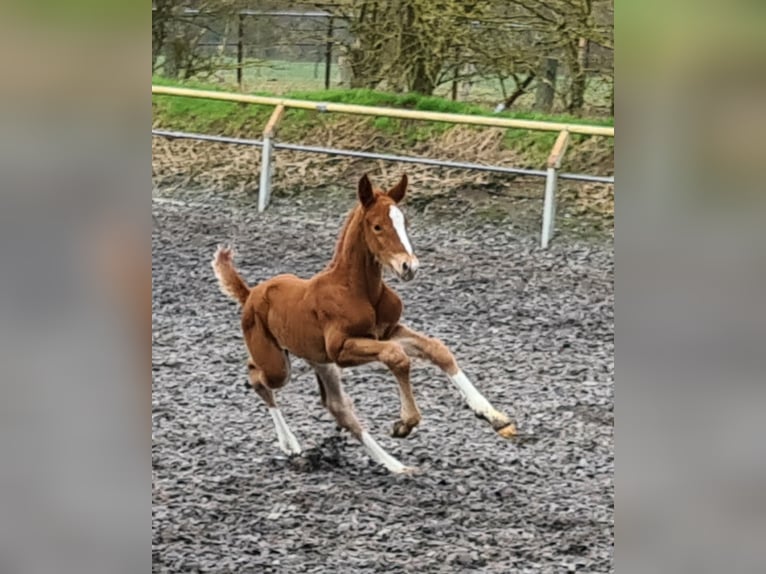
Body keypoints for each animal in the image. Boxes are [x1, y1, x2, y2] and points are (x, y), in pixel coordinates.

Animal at [212, 173, 516, 473]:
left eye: (405, 223)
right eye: (378, 226)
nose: (409, 267)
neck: (357, 289)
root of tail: (250, 294)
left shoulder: (388, 332)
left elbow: (437, 349)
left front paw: (493, 416)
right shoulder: (343, 350)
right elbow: (397, 357)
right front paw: (404, 424)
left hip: (319, 361)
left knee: (338, 408)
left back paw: (394, 465)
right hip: (279, 366)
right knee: (257, 377)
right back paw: (291, 445)